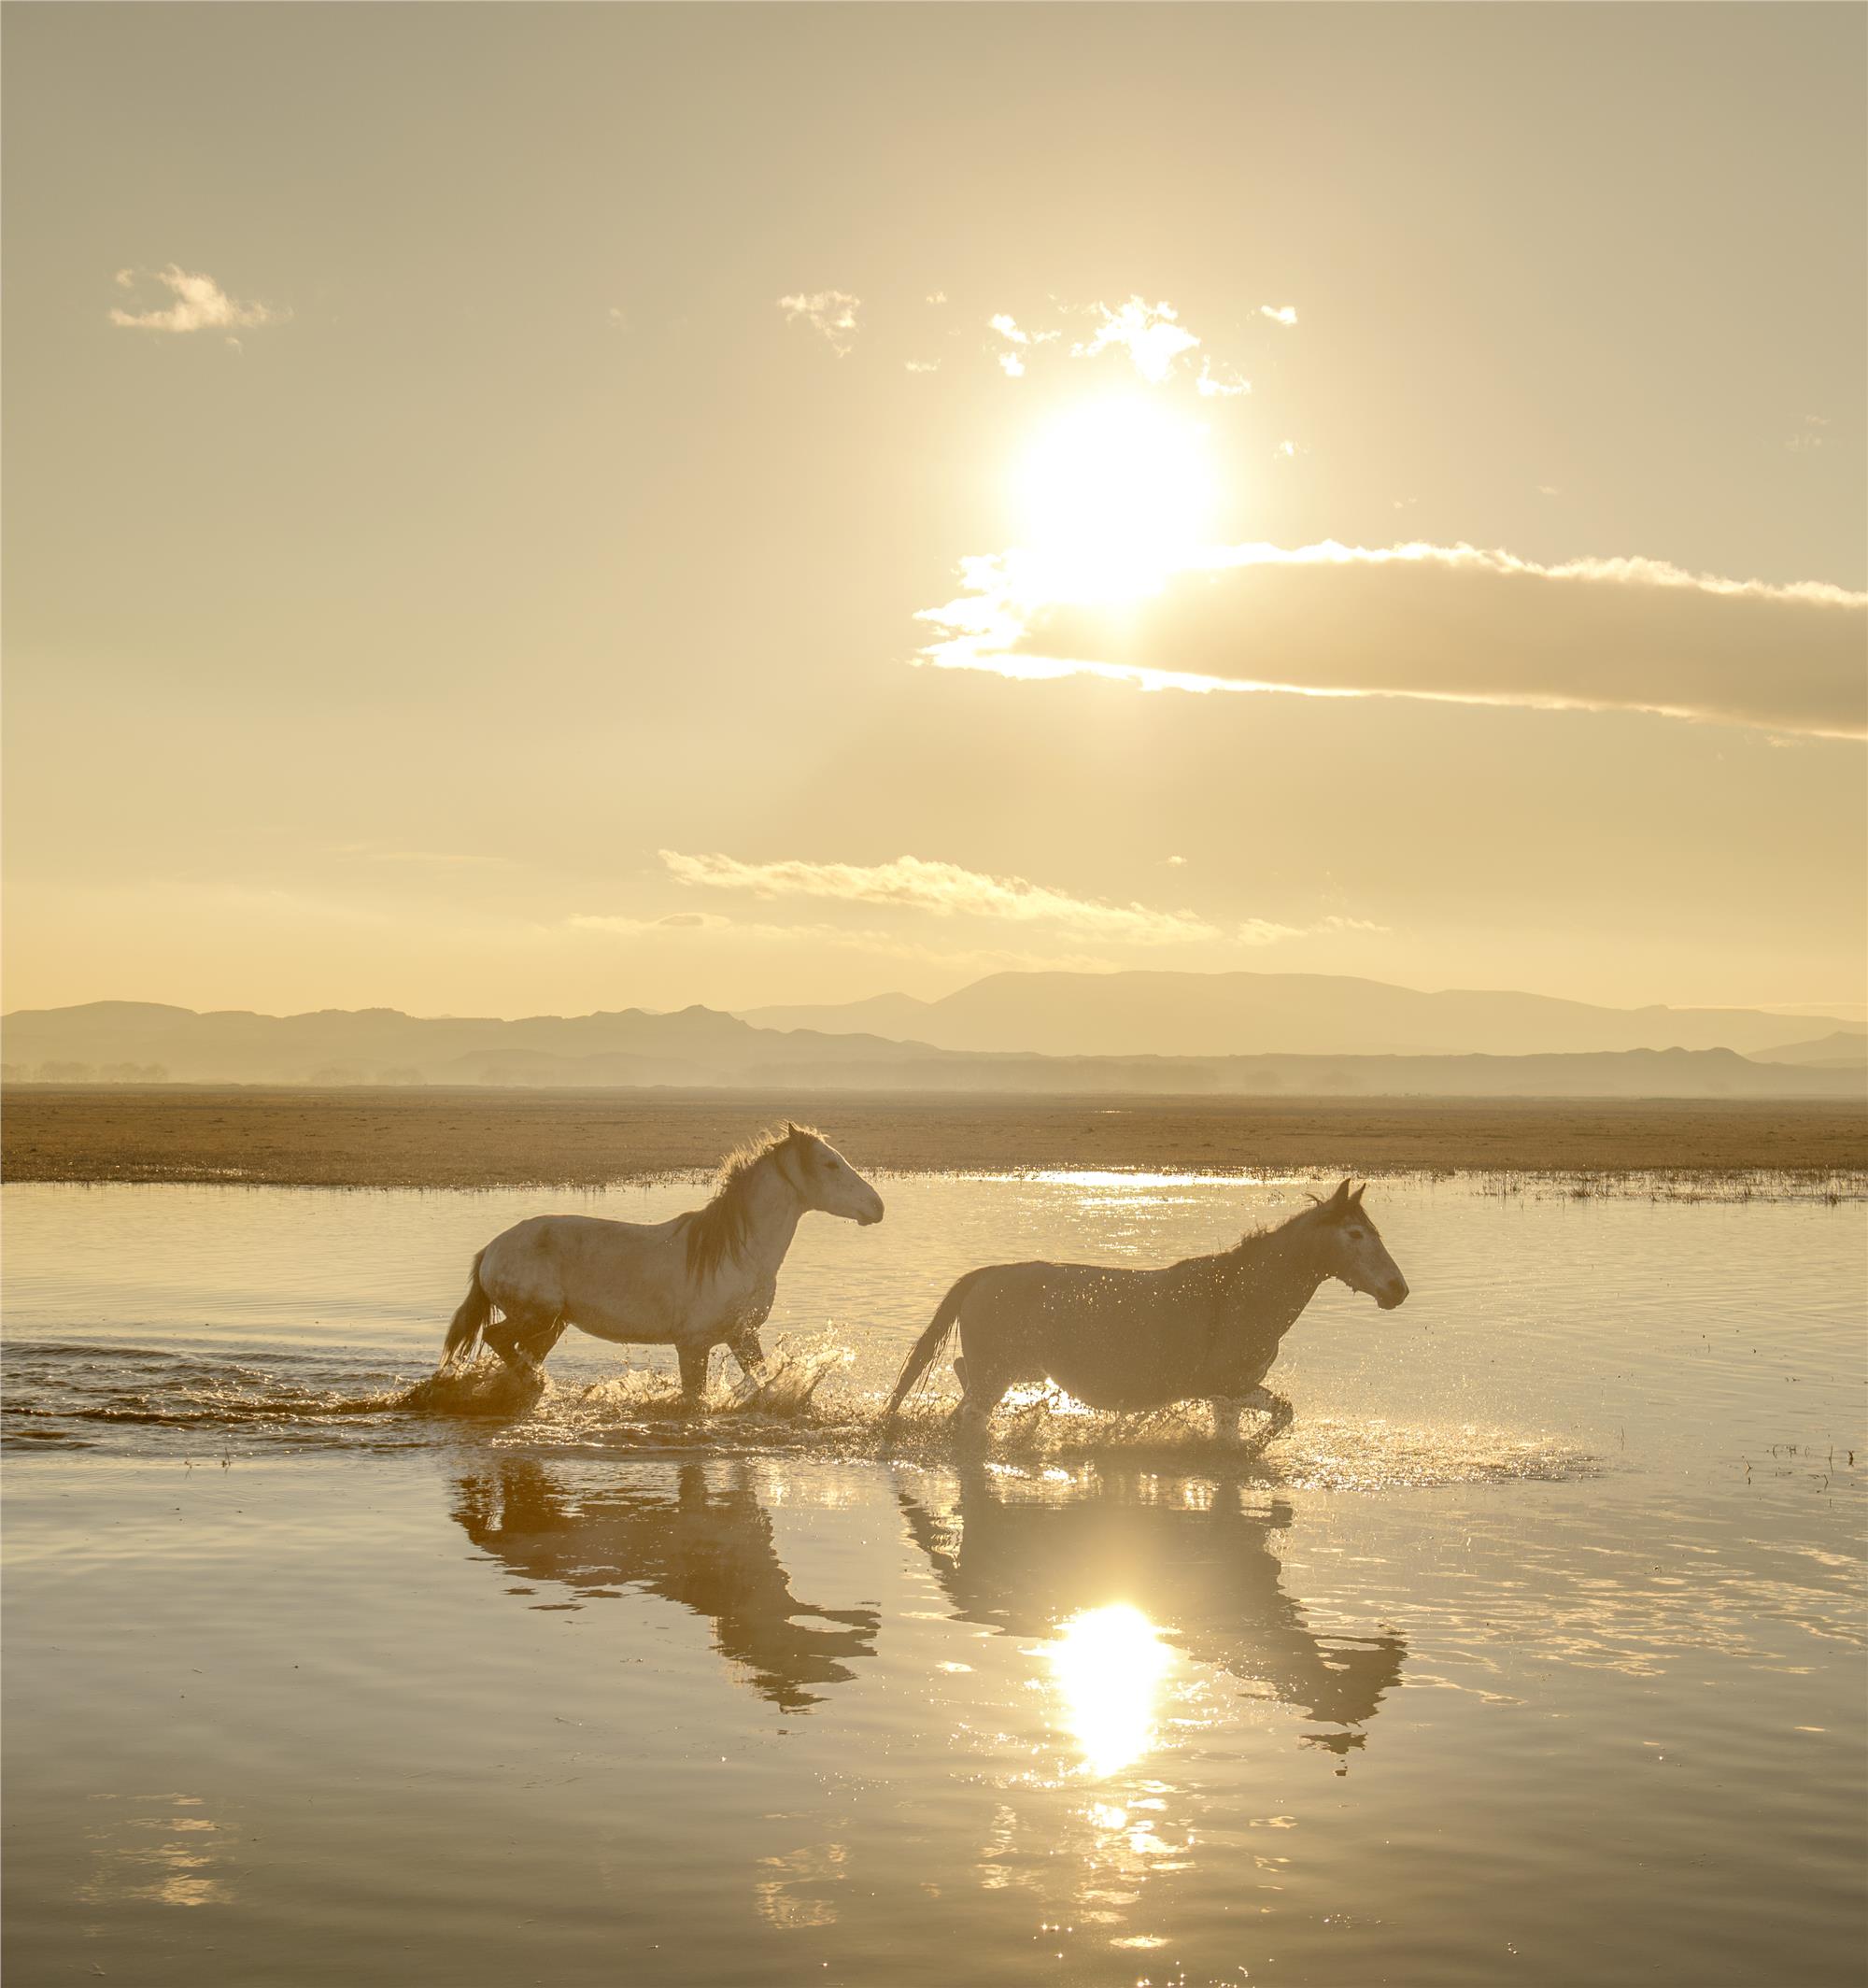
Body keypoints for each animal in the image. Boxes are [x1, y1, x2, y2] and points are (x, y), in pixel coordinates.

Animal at [437, 1121, 882, 1399]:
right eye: (829, 1163)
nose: (877, 1207)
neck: (737, 1255)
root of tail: (491, 1249)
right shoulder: (694, 1345)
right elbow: (695, 1402)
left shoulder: (742, 1336)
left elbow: (761, 1379)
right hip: (536, 1317)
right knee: (497, 1338)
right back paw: (531, 1384)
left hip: (551, 1325)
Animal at [885, 1176, 1398, 1447]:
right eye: (1355, 1234)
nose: (1398, 1289)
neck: (1242, 1294)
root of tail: (985, 1275)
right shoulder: (1224, 1385)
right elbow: (1279, 1416)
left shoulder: (1229, 1392)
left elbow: (1261, 1423)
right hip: (999, 1373)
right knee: (972, 1411)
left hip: (1015, 1370)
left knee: (961, 1378)